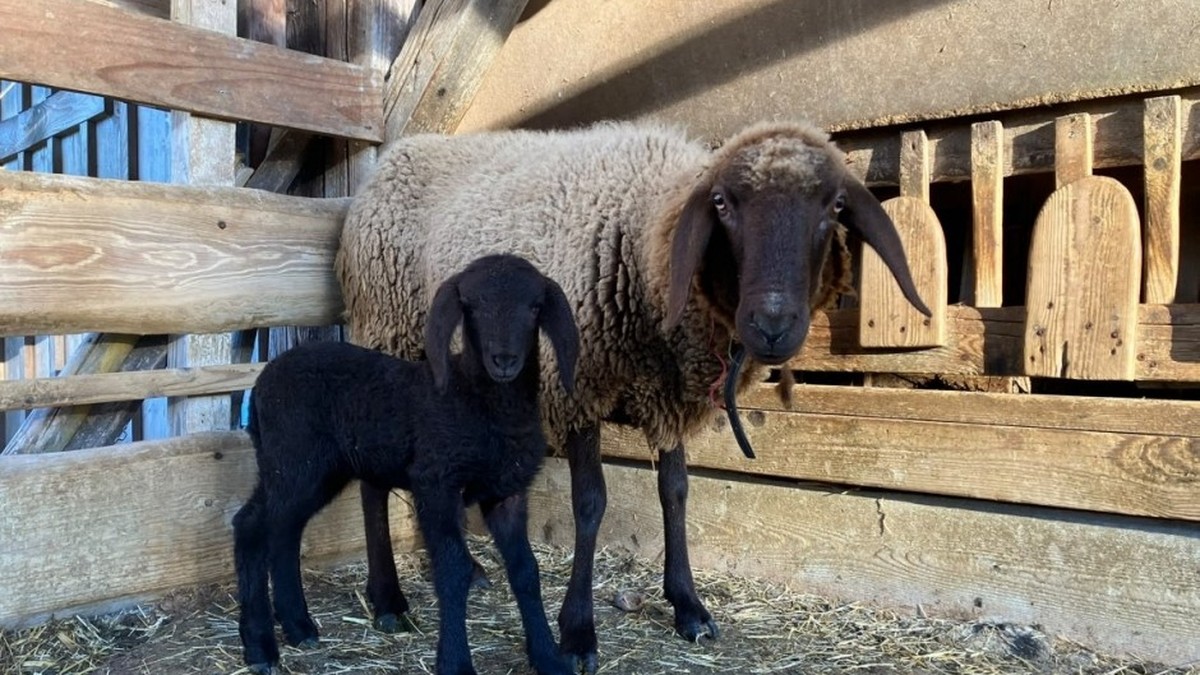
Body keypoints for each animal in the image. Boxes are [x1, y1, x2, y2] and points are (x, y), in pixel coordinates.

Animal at [232, 254, 580, 675]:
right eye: (473, 307)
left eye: (534, 308)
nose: (504, 360)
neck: (478, 402)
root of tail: (261, 381)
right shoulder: (436, 483)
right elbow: (453, 570)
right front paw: (455, 662)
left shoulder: (507, 493)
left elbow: (527, 571)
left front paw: (549, 658)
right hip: (294, 460)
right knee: (254, 527)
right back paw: (260, 646)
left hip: (309, 470)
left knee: (281, 530)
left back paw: (299, 627)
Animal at [336, 120, 930, 673]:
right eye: (722, 204)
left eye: (834, 206)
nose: (773, 325)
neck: (643, 239)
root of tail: (398, 154)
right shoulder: (578, 388)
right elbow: (590, 503)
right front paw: (577, 633)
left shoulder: (666, 396)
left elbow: (676, 492)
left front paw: (688, 606)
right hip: (387, 333)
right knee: (372, 478)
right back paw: (388, 601)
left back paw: (472, 571)